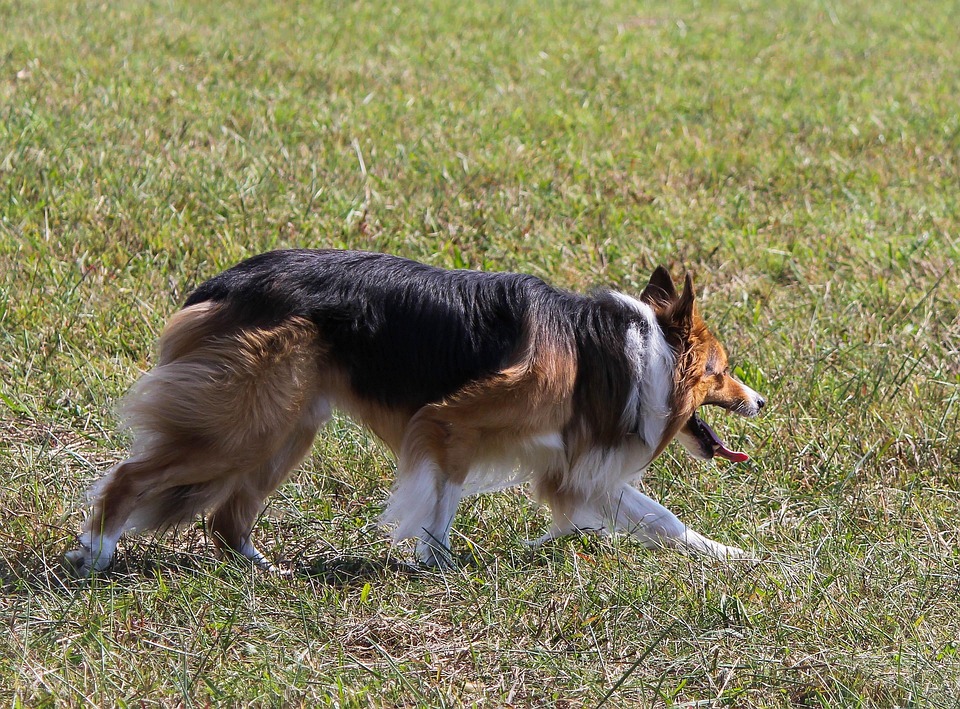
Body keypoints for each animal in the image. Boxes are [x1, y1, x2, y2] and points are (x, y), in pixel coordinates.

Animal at [65, 249, 764, 576]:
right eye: (723, 371)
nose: (761, 400)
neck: (626, 352)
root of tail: (221, 284)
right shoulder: (448, 422)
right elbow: (441, 500)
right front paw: (440, 563)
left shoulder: (572, 465)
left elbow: (665, 519)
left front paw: (735, 557)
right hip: (243, 424)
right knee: (130, 477)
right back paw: (97, 550)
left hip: (286, 427)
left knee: (225, 517)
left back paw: (266, 571)